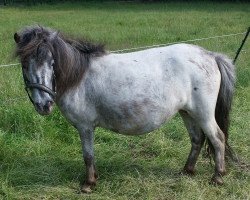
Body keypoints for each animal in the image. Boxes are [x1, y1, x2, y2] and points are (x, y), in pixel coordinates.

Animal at [14, 25, 236, 193]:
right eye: (24, 65)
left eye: (52, 63)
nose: (44, 105)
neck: (79, 77)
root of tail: (211, 56)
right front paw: (94, 178)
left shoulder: (85, 126)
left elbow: (88, 155)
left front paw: (89, 184)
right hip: (187, 113)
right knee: (197, 139)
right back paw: (187, 171)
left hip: (203, 114)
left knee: (217, 139)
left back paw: (217, 177)